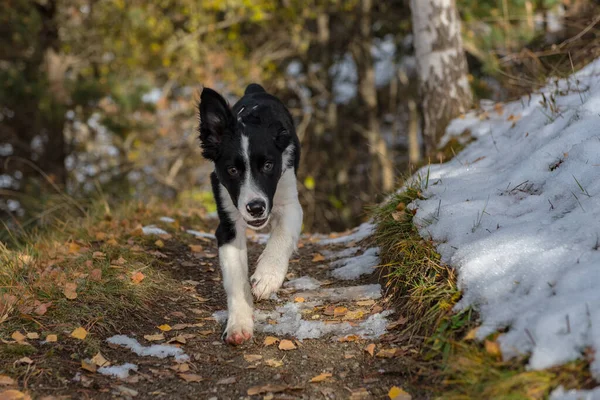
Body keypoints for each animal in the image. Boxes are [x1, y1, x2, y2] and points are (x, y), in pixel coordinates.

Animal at [198, 83, 302, 344]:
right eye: (232, 170)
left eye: (268, 165)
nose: (256, 208)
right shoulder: (228, 225)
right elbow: (235, 279)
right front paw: (238, 325)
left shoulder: (291, 205)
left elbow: (281, 237)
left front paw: (267, 278)